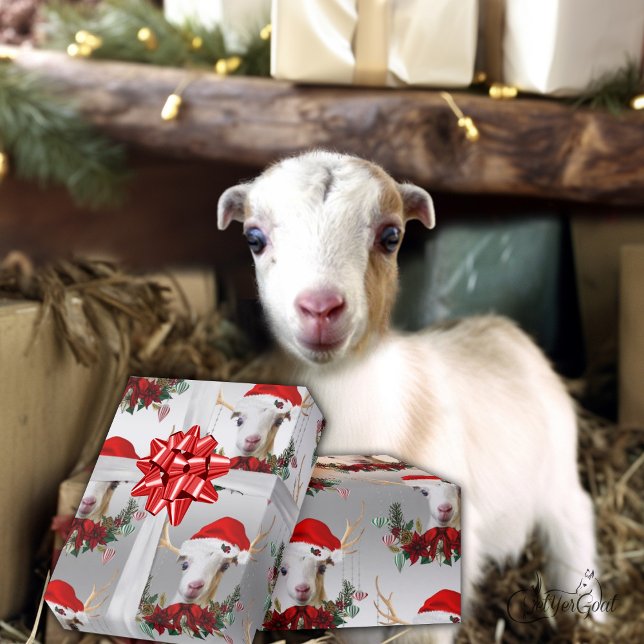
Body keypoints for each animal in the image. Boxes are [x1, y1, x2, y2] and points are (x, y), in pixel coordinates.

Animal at [217, 150, 602, 642]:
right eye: (254, 238)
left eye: (391, 236)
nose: (320, 308)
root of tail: (500, 326)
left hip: (556, 470)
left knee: (574, 520)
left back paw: (590, 616)